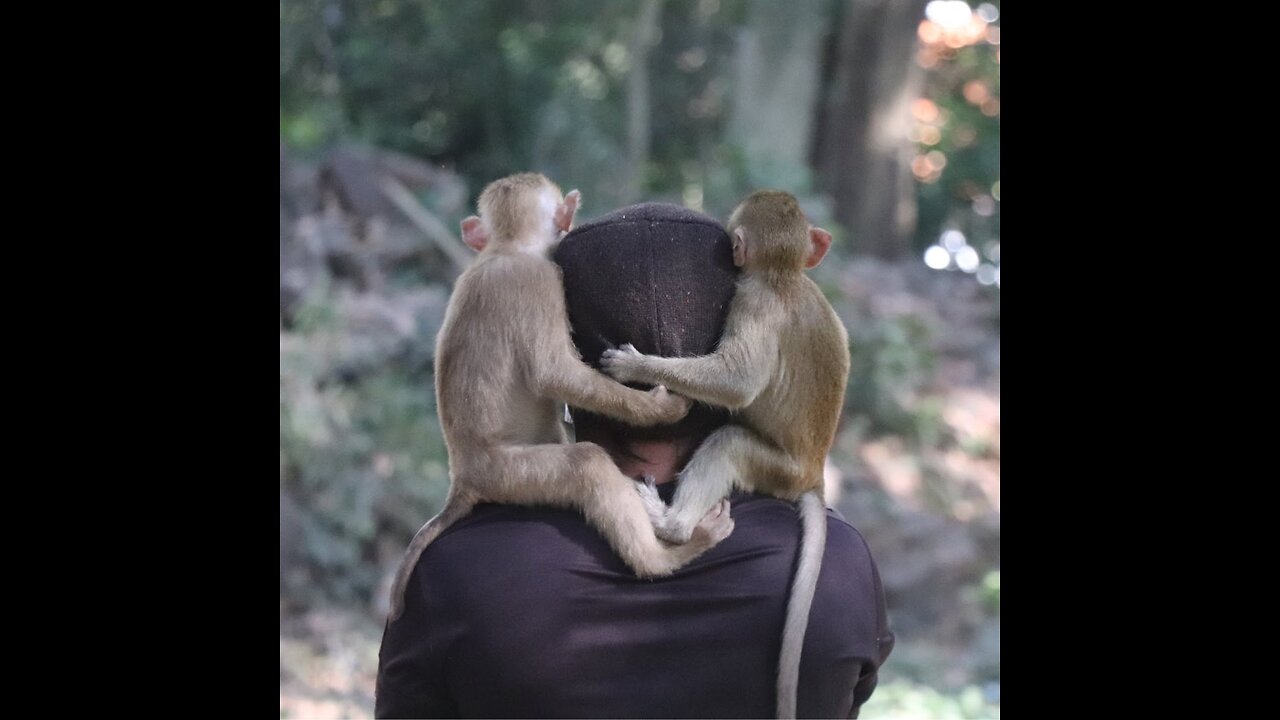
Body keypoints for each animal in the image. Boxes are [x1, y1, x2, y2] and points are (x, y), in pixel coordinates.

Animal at [599, 190, 849, 717]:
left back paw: (670, 522)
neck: (784, 277)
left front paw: (636, 367)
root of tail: (812, 474)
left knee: (727, 442)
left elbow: (736, 382)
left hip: (772, 468)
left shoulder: (749, 302)